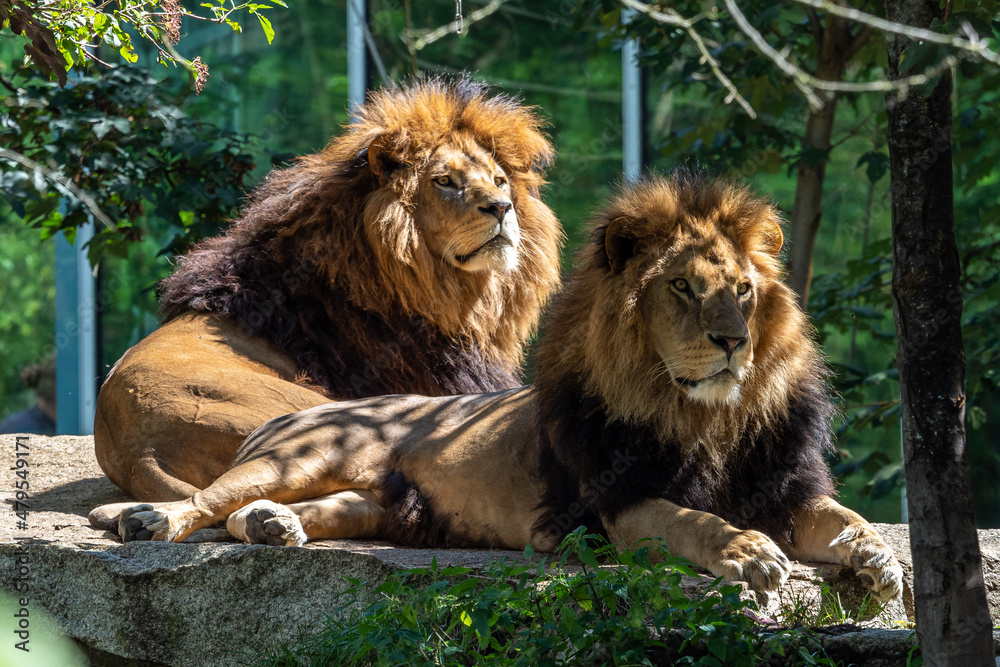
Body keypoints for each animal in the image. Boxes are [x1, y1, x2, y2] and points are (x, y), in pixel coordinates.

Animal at [98, 172, 903, 601]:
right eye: (681, 287)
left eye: (741, 291)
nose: (734, 341)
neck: (709, 420)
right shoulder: (610, 506)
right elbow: (693, 520)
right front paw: (749, 552)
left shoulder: (787, 487)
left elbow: (846, 516)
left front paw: (879, 559)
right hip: (299, 455)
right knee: (209, 501)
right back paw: (150, 522)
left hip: (380, 499)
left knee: (284, 514)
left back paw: (274, 527)